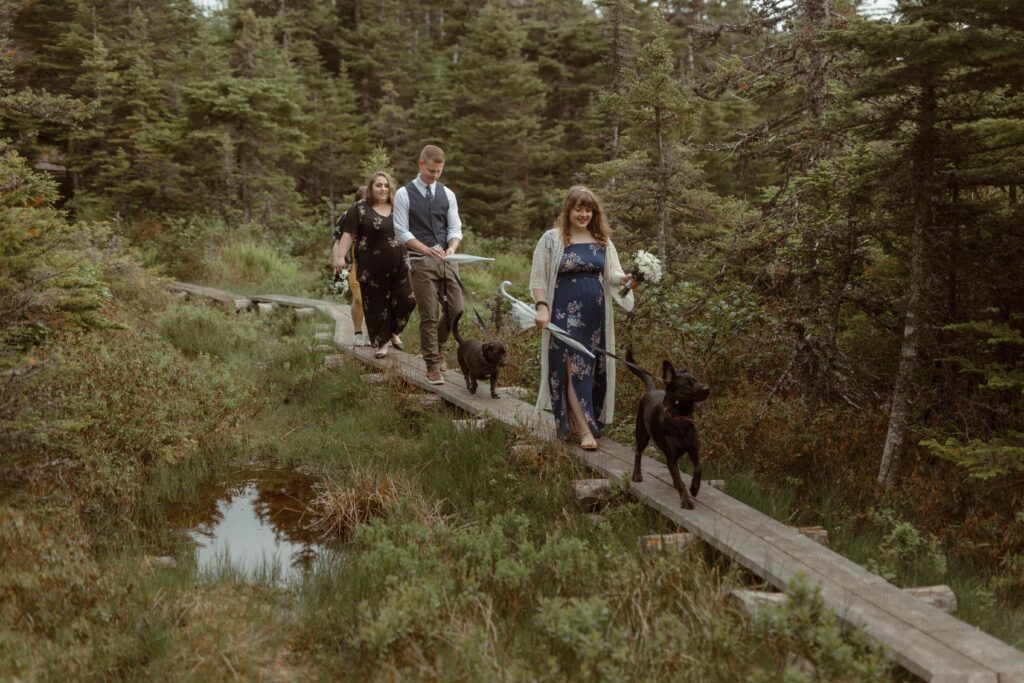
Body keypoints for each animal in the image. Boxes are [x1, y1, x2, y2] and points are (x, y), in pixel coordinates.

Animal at [626, 350, 708, 509]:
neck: (680, 419)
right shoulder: (671, 456)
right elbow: (680, 479)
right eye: (688, 385)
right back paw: (637, 475)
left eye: (696, 380)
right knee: (638, 453)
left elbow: (699, 467)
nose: (707, 388)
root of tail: (651, 390)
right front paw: (686, 500)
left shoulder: (693, 450)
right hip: (642, 434)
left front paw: (694, 488)